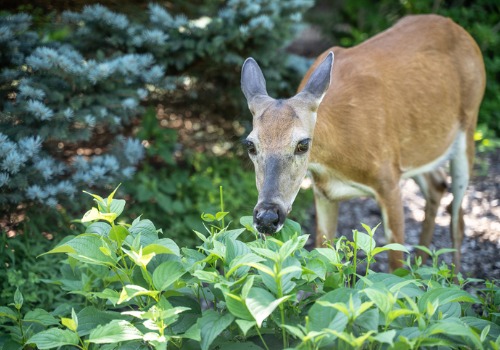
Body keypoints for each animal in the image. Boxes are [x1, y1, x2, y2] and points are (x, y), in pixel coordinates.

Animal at [240, 14, 486, 270]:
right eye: (250, 145)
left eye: (302, 144)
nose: (267, 217)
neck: (337, 159)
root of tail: (460, 30)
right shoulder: (323, 192)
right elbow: (323, 256)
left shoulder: (389, 181)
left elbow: (395, 265)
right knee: (437, 185)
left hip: (468, 127)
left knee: (458, 221)